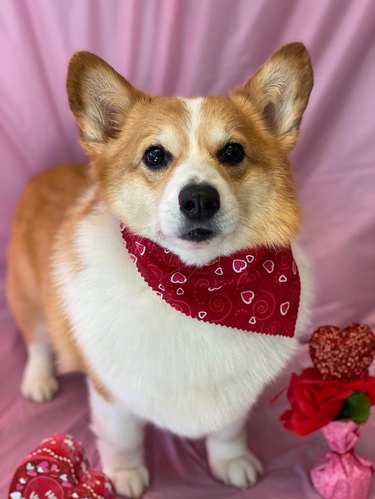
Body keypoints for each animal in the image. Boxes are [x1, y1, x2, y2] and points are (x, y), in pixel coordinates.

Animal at [7, 42, 314, 496]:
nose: (199, 199)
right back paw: (38, 380)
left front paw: (232, 463)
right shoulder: (112, 392)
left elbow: (228, 431)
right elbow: (123, 437)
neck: (198, 288)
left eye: (233, 152)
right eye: (155, 155)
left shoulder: (235, 391)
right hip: (28, 293)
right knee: (38, 340)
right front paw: (124, 475)